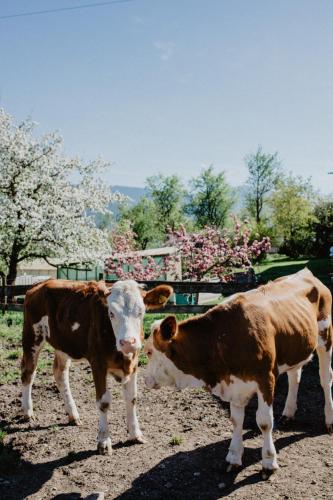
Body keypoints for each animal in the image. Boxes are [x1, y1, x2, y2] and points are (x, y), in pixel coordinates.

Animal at [21, 280, 172, 456]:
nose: (128, 342)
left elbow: (132, 398)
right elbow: (103, 402)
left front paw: (135, 434)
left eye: (141, 312)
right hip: (32, 337)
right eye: (111, 313)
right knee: (28, 374)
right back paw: (28, 412)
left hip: (64, 345)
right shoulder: (97, 363)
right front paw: (104, 441)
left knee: (60, 373)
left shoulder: (134, 362)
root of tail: (42, 283)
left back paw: (73, 415)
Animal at [143, 270, 332, 476]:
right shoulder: (234, 382)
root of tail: (305, 272)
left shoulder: (266, 378)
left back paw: (329, 420)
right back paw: (288, 413)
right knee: (294, 377)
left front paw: (269, 460)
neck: (221, 338)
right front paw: (234, 456)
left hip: (326, 337)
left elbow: (264, 421)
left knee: (326, 379)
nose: (146, 380)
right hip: (296, 345)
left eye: (149, 351)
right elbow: (236, 420)